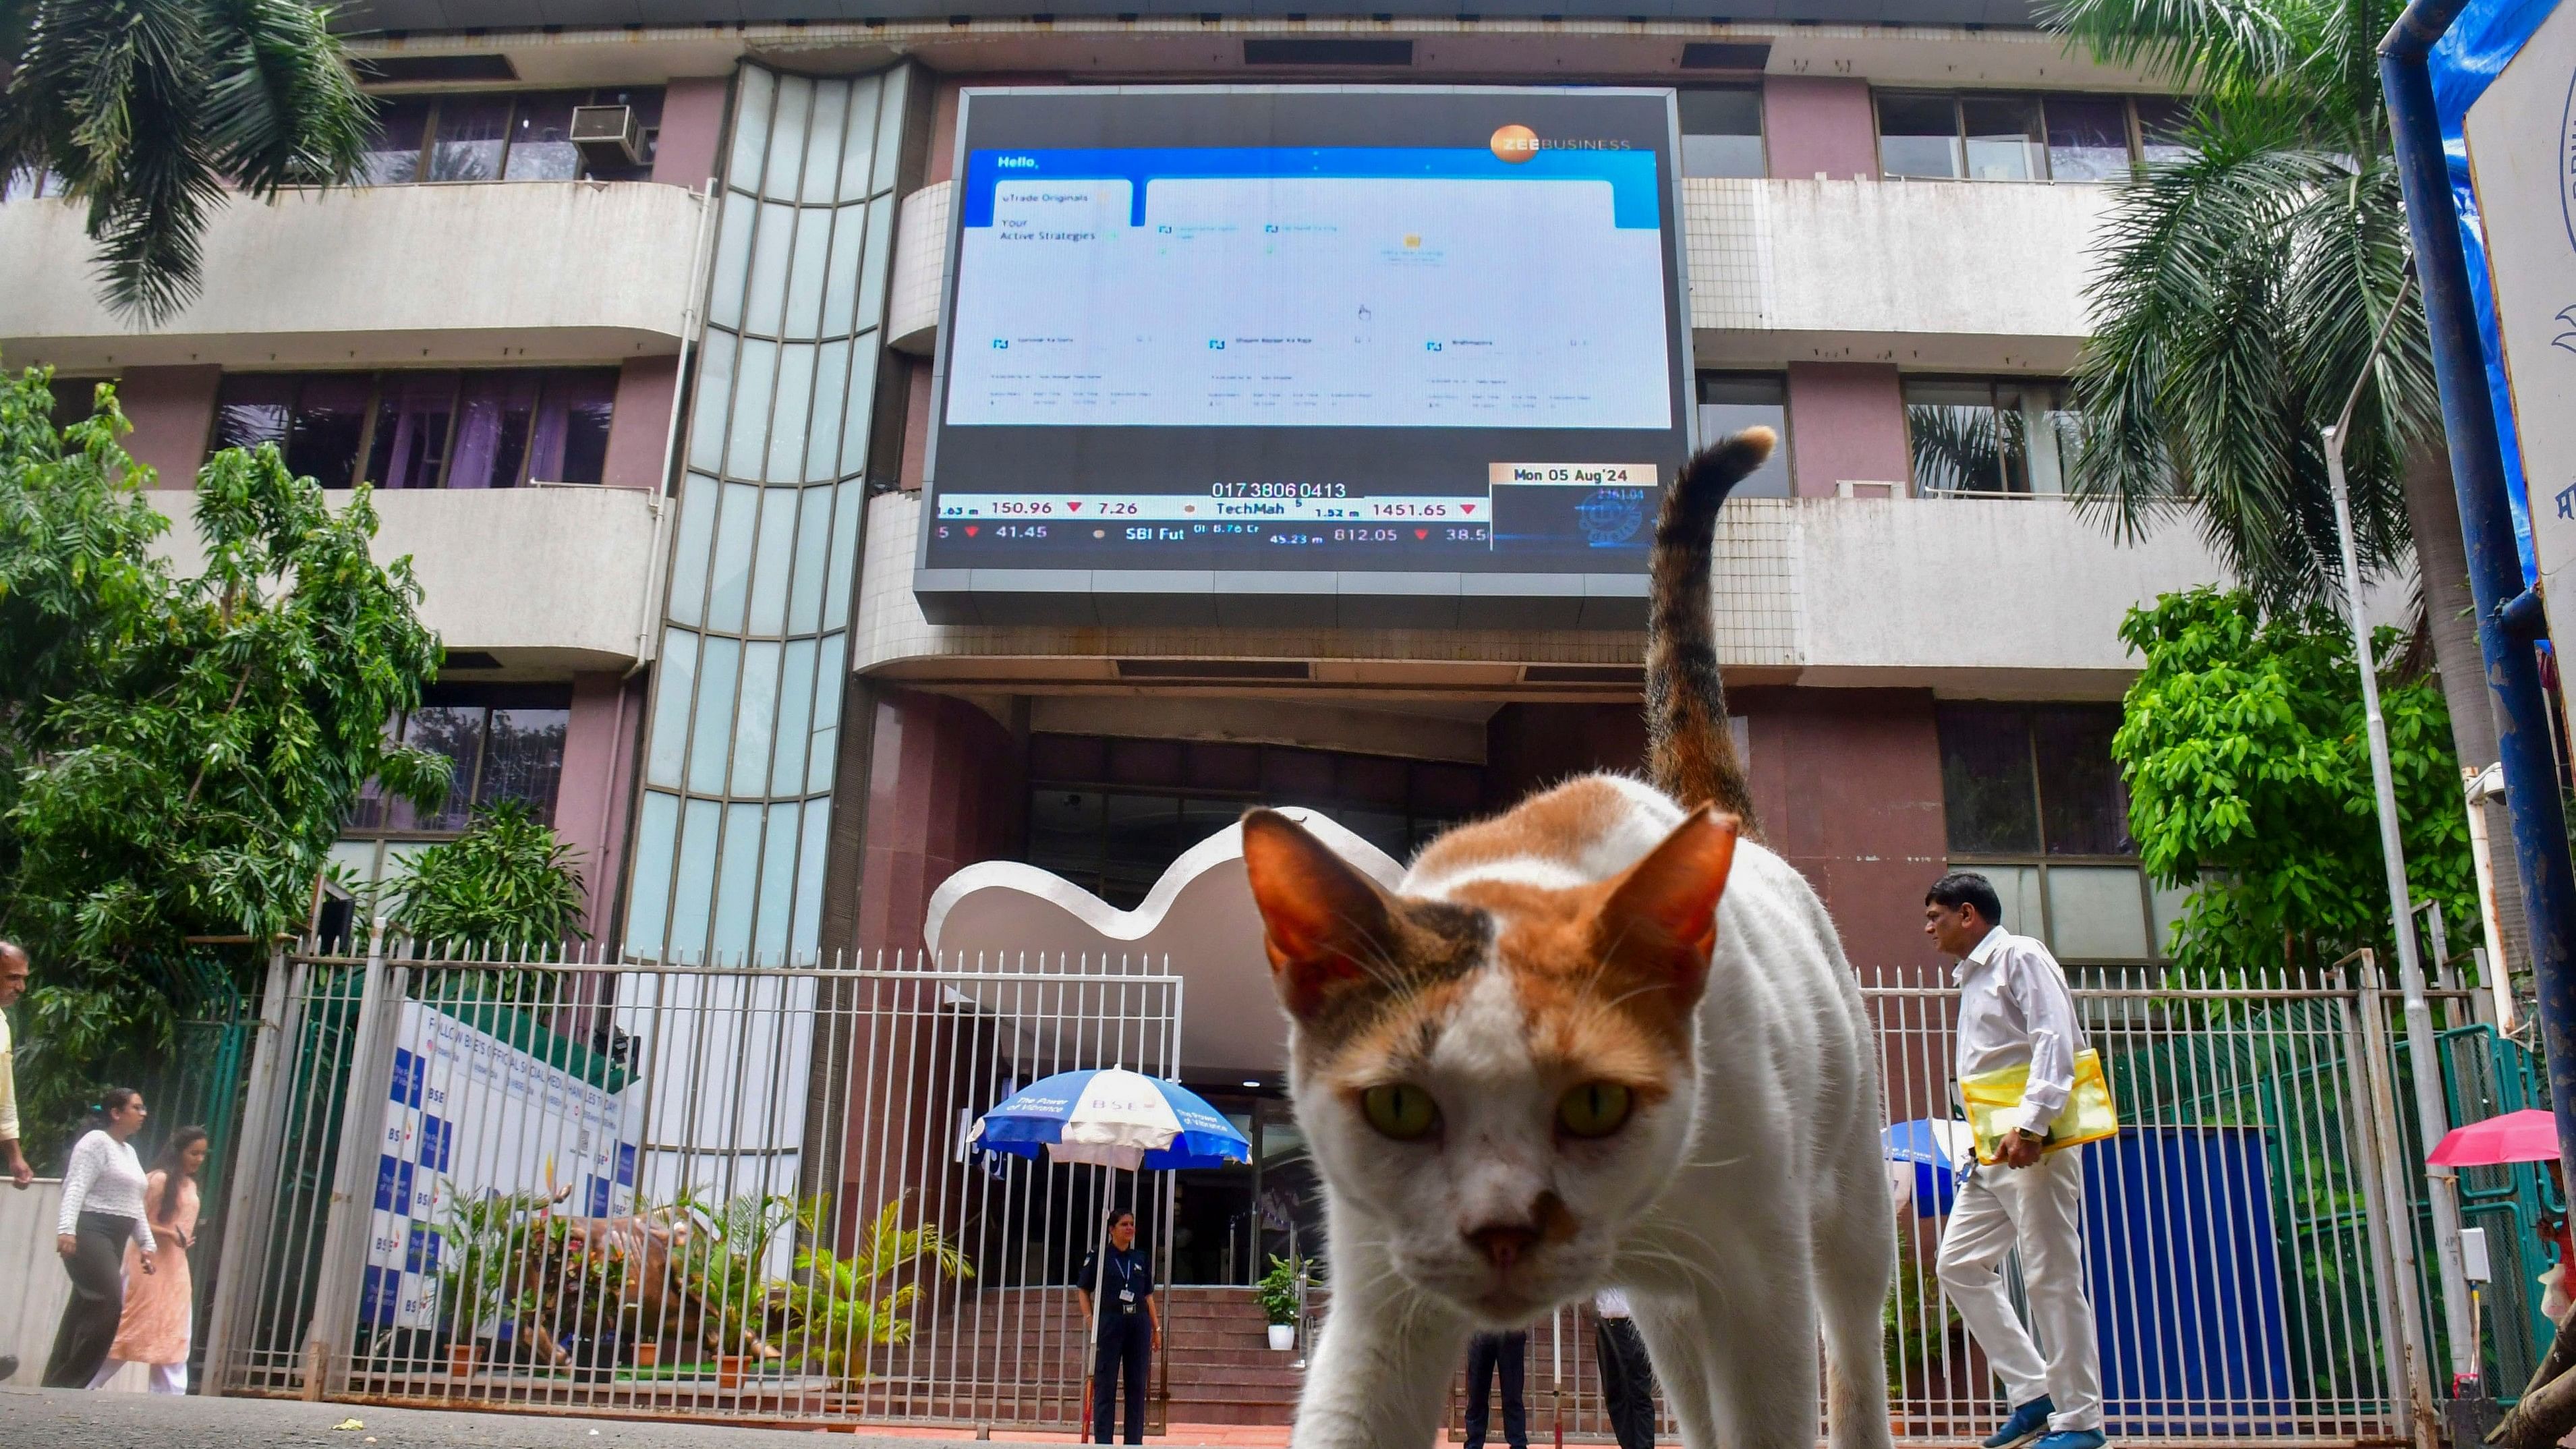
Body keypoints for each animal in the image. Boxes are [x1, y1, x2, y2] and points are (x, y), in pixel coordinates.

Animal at [1236, 425, 1906, 1444]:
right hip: (1668, 1313)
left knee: (1856, 1350)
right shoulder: (1380, 1305)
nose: (1504, 1230)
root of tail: (1727, 823)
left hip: (1847, 1212)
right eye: (1400, 1108)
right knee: (1691, 1398)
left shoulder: (1762, 1292)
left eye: (1595, 1103)